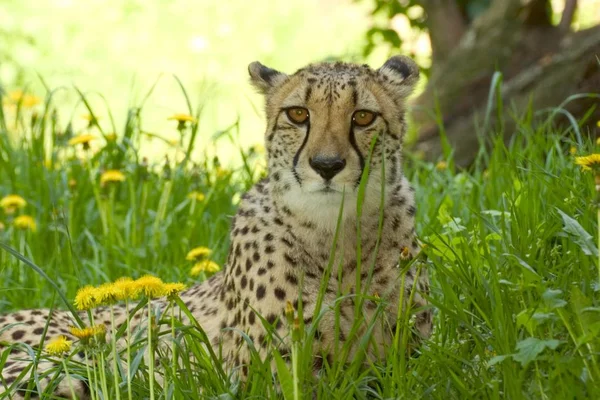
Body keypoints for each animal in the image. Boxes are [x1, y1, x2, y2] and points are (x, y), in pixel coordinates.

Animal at [0, 55, 432, 396]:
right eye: (298, 114)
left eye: (363, 116)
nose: (327, 165)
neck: (336, 239)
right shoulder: (269, 379)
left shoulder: (399, 367)